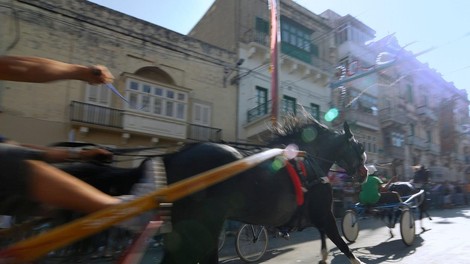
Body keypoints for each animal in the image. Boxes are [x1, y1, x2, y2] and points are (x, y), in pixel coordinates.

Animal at [160, 117, 370, 264]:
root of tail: (176, 156)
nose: (365, 172)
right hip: (204, 223)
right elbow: (343, 246)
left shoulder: (318, 218)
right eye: (359, 147)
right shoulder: (325, 216)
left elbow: (325, 243)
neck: (309, 166)